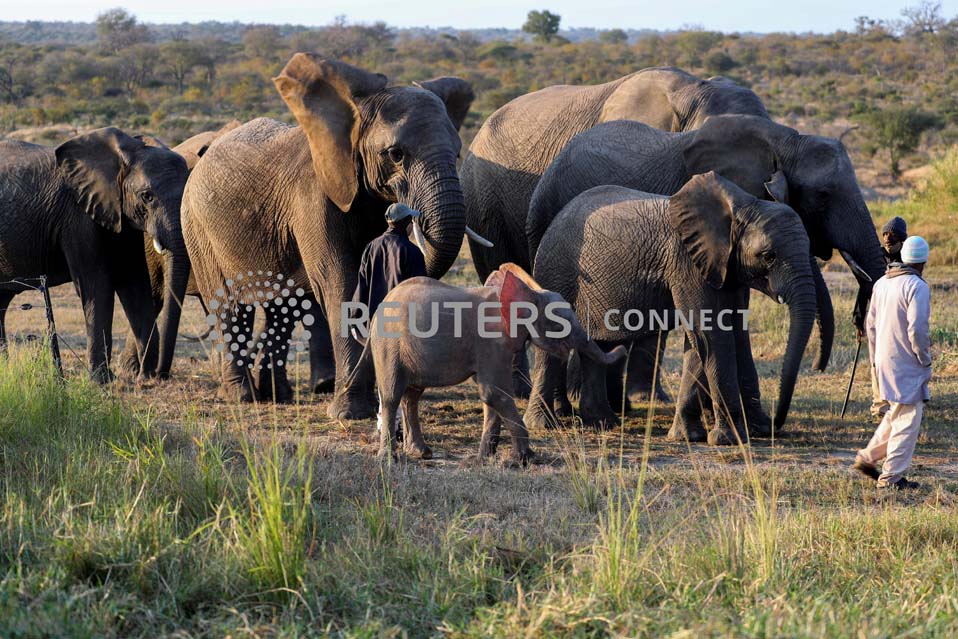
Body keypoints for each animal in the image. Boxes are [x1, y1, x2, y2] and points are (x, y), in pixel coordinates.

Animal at [0, 127, 190, 380]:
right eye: (147, 196)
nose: (161, 374)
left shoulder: (121, 218)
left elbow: (135, 282)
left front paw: (144, 377)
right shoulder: (77, 215)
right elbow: (97, 284)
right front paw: (102, 381)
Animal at [183, 53, 482, 418]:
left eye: (457, 152)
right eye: (396, 154)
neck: (353, 120)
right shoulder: (313, 197)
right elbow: (339, 279)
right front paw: (350, 414)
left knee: (282, 308)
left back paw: (277, 395)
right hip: (197, 227)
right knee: (230, 308)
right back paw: (242, 397)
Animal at [365, 264, 626, 461]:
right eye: (558, 324)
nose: (622, 348)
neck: (528, 294)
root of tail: (378, 310)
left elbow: (491, 398)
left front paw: (484, 459)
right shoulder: (491, 343)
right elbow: (494, 393)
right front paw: (526, 459)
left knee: (412, 396)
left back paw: (422, 453)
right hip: (388, 346)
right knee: (392, 396)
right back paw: (389, 460)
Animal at [528, 174, 818, 445]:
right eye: (768, 256)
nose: (776, 424)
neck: (743, 205)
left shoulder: (725, 269)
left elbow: (716, 336)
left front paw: (689, 436)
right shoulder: (687, 262)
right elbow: (710, 333)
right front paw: (729, 439)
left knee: (602, 343)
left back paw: (602, 422)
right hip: (556, 269)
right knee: (555, 336)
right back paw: (545, 424)